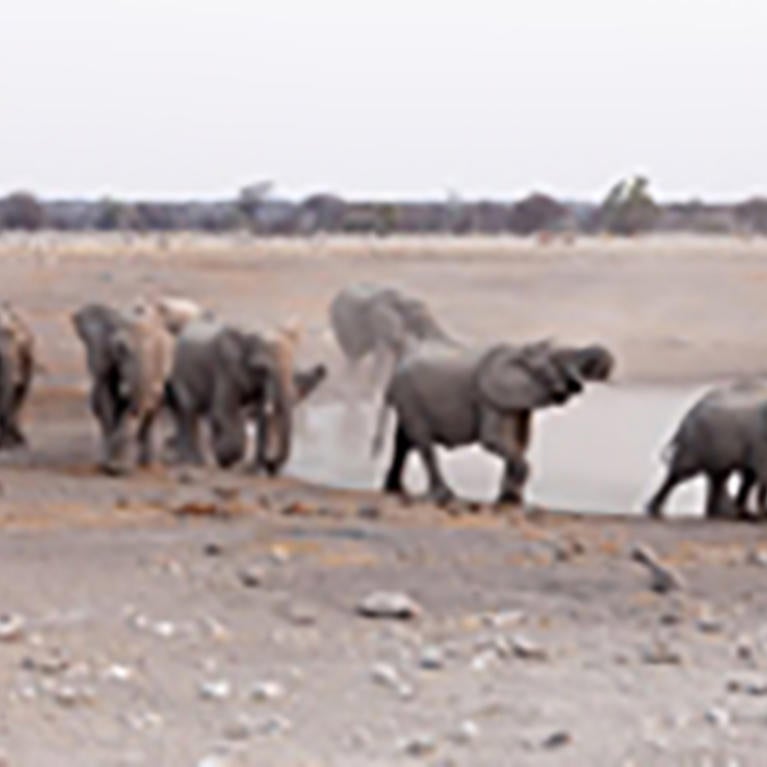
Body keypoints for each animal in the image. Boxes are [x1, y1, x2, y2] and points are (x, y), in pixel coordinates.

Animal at [72, 302, 174, 474]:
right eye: (120, 349)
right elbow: (107, 401)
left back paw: (148, 465)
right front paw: (112, 467)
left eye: (162, 346)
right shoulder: (104, 363)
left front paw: (121, 467)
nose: (114, 468)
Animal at [165, 318, 325, 472]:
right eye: (263, 369)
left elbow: (262, 417)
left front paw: (253, 470)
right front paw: (226, 459)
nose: (271, 465)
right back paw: (195, 462)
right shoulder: (225, 369)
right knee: (188, 411)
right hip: (180, 374)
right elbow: (224, 411)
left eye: (292, 368)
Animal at [373, 340, 614, 505]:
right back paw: (445, 496)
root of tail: (394, 370)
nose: (605, 358)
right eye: (558, 358)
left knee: (404, 441)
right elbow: (492, 439)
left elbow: (520, 443)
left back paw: (395, 489)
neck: (521, 350)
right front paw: (510, 498)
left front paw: (511, 500)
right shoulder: (490, 398)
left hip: (407, 399)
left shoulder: (517, 404)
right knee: (422, 442)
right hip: (409, 398)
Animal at [645, 379, 767, 520]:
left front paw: (749, 514)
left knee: (719, 476)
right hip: (696, 440)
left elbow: (750, 475)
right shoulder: (759, 440)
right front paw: (759, 515)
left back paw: (721, 513)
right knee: (682, 472)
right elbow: (759, 473)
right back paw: (653, 509)